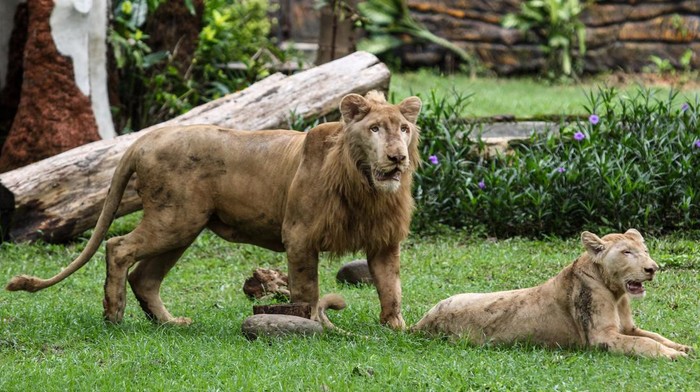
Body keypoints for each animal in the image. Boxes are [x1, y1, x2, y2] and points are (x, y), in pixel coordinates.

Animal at [6, 90, 422, 330]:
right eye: (374, 129)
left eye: (403, 129)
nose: (397, 158)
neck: (366, 187)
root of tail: (146, 137)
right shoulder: (300, 235)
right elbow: (307, 291)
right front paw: (317, 327)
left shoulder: (384, 241)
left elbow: (391, 287)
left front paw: (396, 327)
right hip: (175, 219)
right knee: (117, 247)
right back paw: (114, 315)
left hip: (183, 226)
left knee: (145, 277)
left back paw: (170, 323)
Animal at [412, 228, 692, 360]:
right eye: (626, 252)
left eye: (645, 251)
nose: (652, 268)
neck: (616, 293)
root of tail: (422, 322)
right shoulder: (601, 338)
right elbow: (644, 343)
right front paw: (674, 356)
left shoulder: (629, 328)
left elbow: (654, 336)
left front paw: (684, 347)